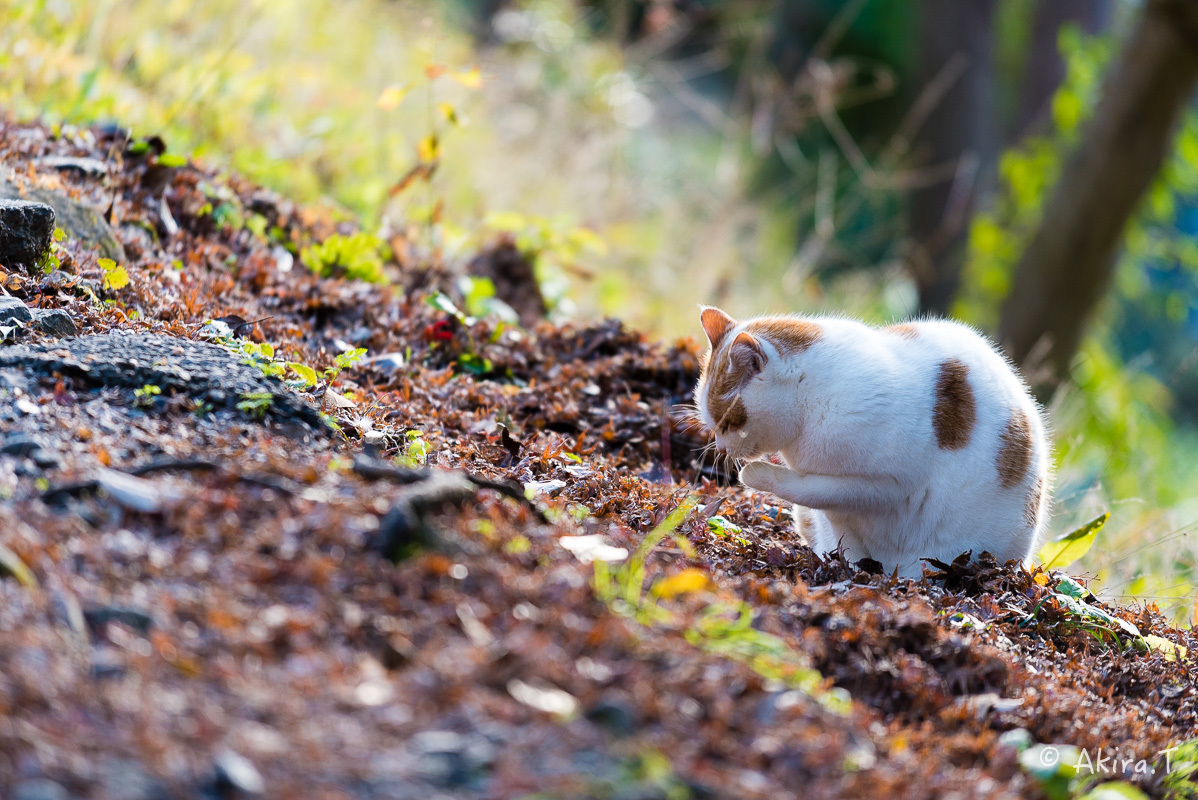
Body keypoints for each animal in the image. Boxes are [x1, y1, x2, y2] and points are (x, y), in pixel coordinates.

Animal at [694, 304, 1049, 574]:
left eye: (728, 422)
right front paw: (845, 565)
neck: (812, 399)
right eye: (713, 424)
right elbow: (837, 527)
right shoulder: (838, 510)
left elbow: (809, 489)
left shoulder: (883, 486)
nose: (721, 447)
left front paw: (756, 474)